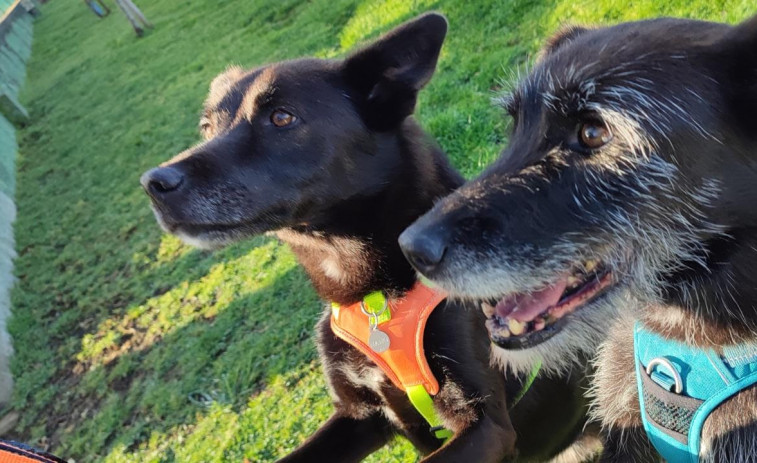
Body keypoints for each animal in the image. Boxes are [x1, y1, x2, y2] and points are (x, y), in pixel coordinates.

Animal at [142, 12, 596, 462]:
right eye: (207, 127)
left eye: (282, 118)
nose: (153, 184)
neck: (375, 296)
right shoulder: (357, 415)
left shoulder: (487, 426)